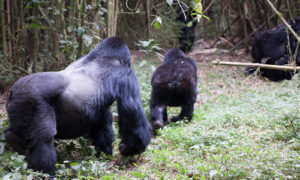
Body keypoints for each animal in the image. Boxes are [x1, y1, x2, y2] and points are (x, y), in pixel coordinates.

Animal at [3, 37, 151, 176]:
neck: (104, 57)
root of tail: (13, 91)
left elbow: (101, 125)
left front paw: (105, 155)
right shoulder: (126, 75)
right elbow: (133, 119)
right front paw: (129, 149)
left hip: (17, 107)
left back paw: (13, 141)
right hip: (30, 100)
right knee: (44, 139)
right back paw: (46, 173)